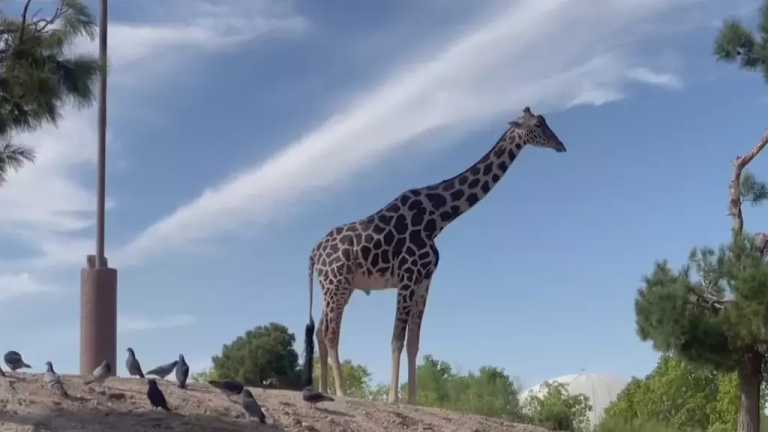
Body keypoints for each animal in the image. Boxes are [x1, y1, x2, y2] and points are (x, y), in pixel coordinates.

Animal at [304, 106, 564, 404]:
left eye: (545, 122)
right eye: (538, 125)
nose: (561, 145)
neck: (438, 218)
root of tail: (314, 252)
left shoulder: (424, 280)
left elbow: (414, 342)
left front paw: (413, 399)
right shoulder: (407, 277)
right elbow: (397, 339)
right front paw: (393, 398)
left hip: (339, 287)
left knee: (321, 331)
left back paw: (324, 389)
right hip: (336, 284)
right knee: (331, 332)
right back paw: (341, 391)